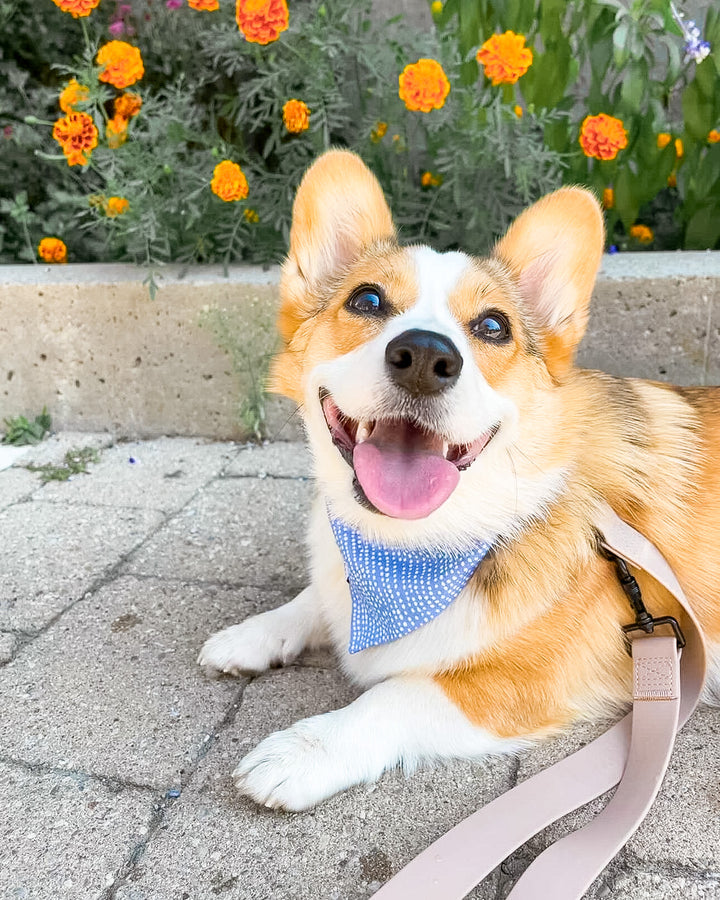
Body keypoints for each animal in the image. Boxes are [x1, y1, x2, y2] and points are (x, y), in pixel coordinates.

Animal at [200, 151, 720, 812]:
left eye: (494, 326)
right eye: (367, 300)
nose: (425, 356)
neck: (404, 549)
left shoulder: (530, 681)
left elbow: (394, 695)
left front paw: (302, 750)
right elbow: (313, 599)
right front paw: (250, 636)